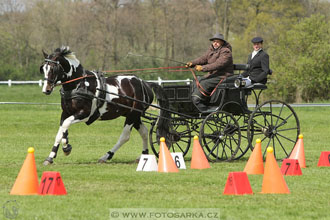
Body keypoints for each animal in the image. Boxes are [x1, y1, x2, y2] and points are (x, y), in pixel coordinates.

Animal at [41, 46, 169, 167]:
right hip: (133, 115)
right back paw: (143, 155)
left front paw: (65, 148)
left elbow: (66, 125)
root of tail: (145, 83)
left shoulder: (85, 114)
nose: (46, 90)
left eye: (53, 68)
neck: (79, 84)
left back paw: (106, 156)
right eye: (43, 69)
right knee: (144, 132)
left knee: (125, 136)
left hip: (133, 114)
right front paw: (53, 155)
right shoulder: (66, 113)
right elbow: (61, 131)